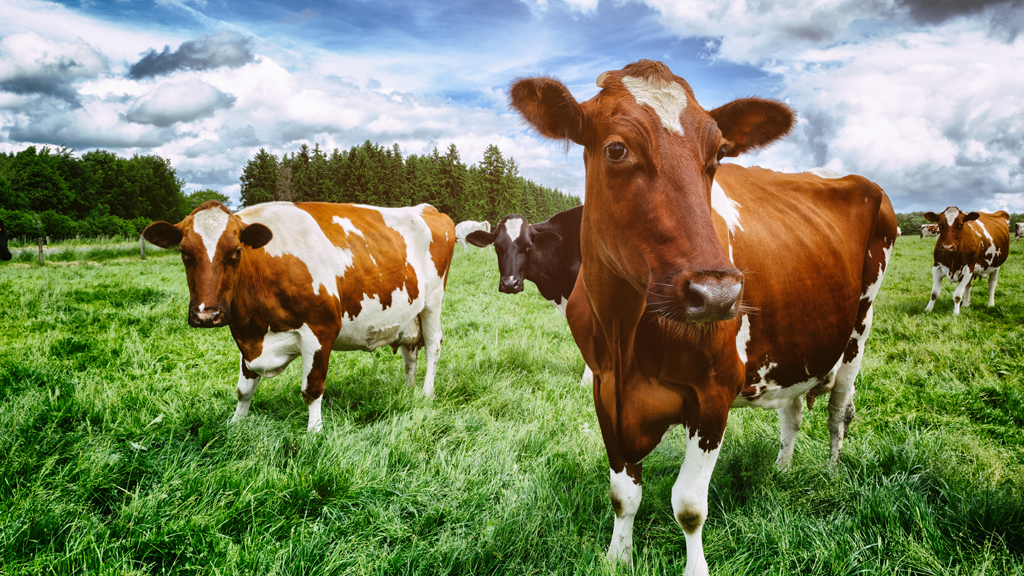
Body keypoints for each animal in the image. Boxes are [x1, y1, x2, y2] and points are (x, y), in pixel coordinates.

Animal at [143, 201, 455, 432]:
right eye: (184, 253)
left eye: (236, 252)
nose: (207, 314)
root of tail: (427, 208)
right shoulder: (247, 337)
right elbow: (244, 389)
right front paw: (235, 423)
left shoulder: (320, 330)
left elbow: (312, 388)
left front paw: (314, 432)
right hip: (408, 313)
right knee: (410, 352)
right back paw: (407, 390)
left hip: (432, 302)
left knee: (433, 345)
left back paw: (426, 393)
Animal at [508, 59, 896, 575]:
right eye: (616, 149)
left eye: (719, 154)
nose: (716, 295)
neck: (625, 332)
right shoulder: (605, 389)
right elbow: (622, 494)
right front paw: (618, 556)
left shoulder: (713, 394)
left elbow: (689, 506)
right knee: (792, 411)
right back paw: (783, 470)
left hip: (859, 329)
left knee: (838, 412)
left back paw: (832, 474)